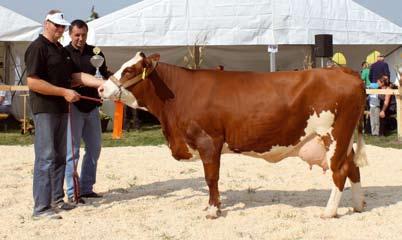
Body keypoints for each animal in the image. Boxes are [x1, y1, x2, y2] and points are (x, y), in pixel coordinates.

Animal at [99, 52, 368, 219]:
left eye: (129, 70)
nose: (101, 87)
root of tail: (344, 72)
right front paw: (215, 207)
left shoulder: (209, 141)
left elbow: (211, 178)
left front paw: (212, 210)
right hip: (344, 140)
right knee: (353, 168)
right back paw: (358, 206)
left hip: (334, 135)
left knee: (340, 171)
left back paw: (329, 212)